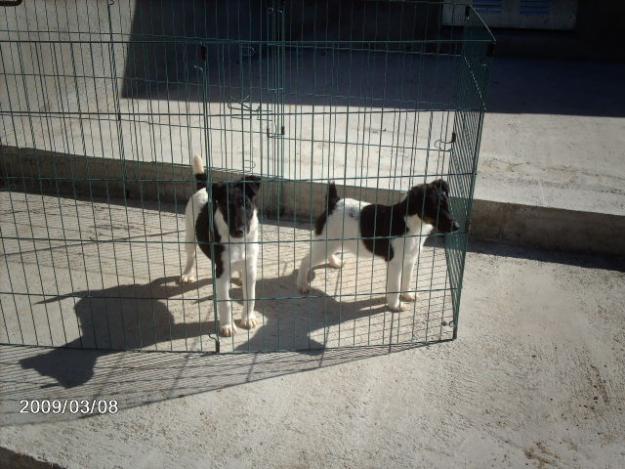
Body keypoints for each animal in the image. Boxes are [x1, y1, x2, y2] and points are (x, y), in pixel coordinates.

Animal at [178, 155, 260, 334]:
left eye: (246, 204)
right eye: (224, 206)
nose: (238, 231)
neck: (237, 242)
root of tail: (203, 188)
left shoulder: (250, 268)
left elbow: (250, 296)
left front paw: (248, 318)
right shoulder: (222, 272)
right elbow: (226, 302)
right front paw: (227, 326)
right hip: (190, 235)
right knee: (190, 255)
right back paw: (187, 274)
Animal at [298, 180, 458, 310]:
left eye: (447, 206)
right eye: (435, 208)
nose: (457, 227)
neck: (411, 222)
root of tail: (334, 203)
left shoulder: (410, 260)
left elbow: (406, 280)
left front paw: (407, 295)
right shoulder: (395, 263)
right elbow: (394, 286)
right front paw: (396, 305)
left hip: (332, 241)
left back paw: (335, 262)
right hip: (326, 242)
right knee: (305, 261)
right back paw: (303, 285)